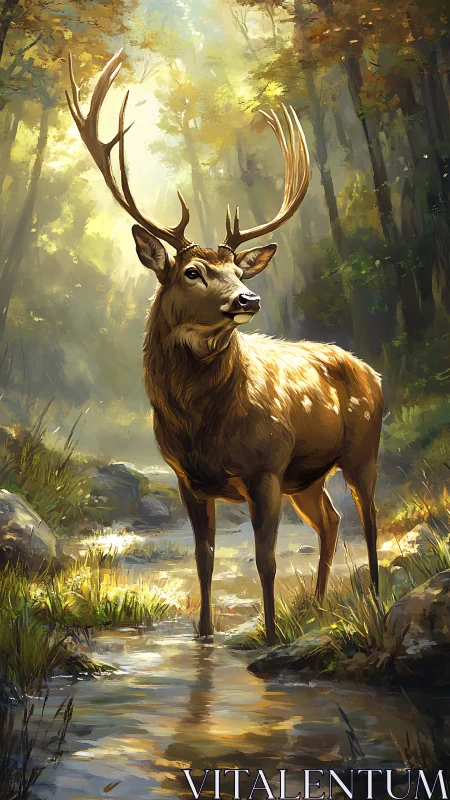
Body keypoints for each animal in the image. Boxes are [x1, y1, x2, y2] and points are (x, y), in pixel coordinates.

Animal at [67, 51, 383, 646]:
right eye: (192, 271)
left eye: (238, 268)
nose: (248, 298)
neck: (203, 424)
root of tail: (372, 372)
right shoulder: (189, 478)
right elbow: (205, 559)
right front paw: (204, 635)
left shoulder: (265, 468)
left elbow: (265, 560)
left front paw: (273, 634)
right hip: (308, 476)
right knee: (331, 520)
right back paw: (320, 604)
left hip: (361, 449)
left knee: (368, 520)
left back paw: (373, 599)